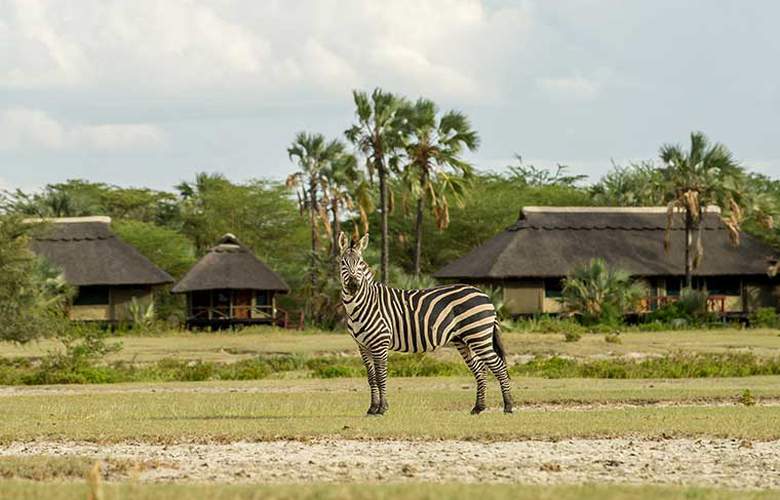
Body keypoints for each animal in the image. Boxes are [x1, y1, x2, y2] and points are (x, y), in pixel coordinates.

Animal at [338, 231, 513, 415]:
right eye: (343, 263)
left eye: (360, 262)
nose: (353, 286)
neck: (361, 305)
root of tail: (485, 296)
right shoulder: (363, 346)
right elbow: (371, 378)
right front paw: (372, 408)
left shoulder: (380, 343)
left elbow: (381, 376)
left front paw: (382, 408)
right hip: (463, 340)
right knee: (481, 370)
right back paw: (478, 407)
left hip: (478, 336)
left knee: (499, 367)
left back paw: (508, 406)